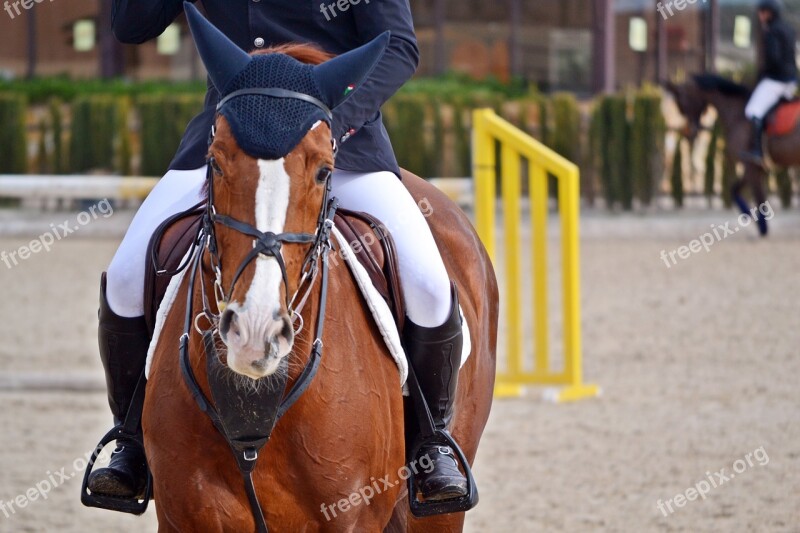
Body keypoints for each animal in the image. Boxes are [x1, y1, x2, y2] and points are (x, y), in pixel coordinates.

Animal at [141, 5, 496, 532]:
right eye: (215, 161)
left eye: (325, 169)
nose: (254, 333)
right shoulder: (185, 514)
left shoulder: (351, 516)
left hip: (440, 507)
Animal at [664, 74, 800, 234]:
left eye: (682, 105)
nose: (687, 134)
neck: (737, 113)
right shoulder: (756, 168)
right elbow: (735, 189)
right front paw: (748, 214)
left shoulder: (750, 166)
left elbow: (757, 197)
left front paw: (760, 227)